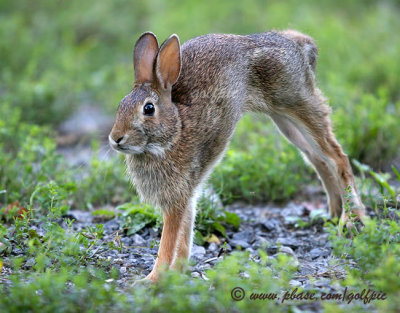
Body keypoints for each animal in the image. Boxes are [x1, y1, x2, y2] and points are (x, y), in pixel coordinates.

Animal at [109, 30, 366, 282]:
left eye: (148, 109)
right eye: (121, 105)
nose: (115, 138)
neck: (175, 130)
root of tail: (298, 44)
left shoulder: (177, 199)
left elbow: (168, 241)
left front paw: (153, 279)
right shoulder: (188, 193)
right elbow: (186, 233)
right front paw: (178, 272)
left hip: (297, 102)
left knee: (338, 157)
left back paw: (352, 219)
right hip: (284, 120)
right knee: (317, 158)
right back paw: (334, 212)